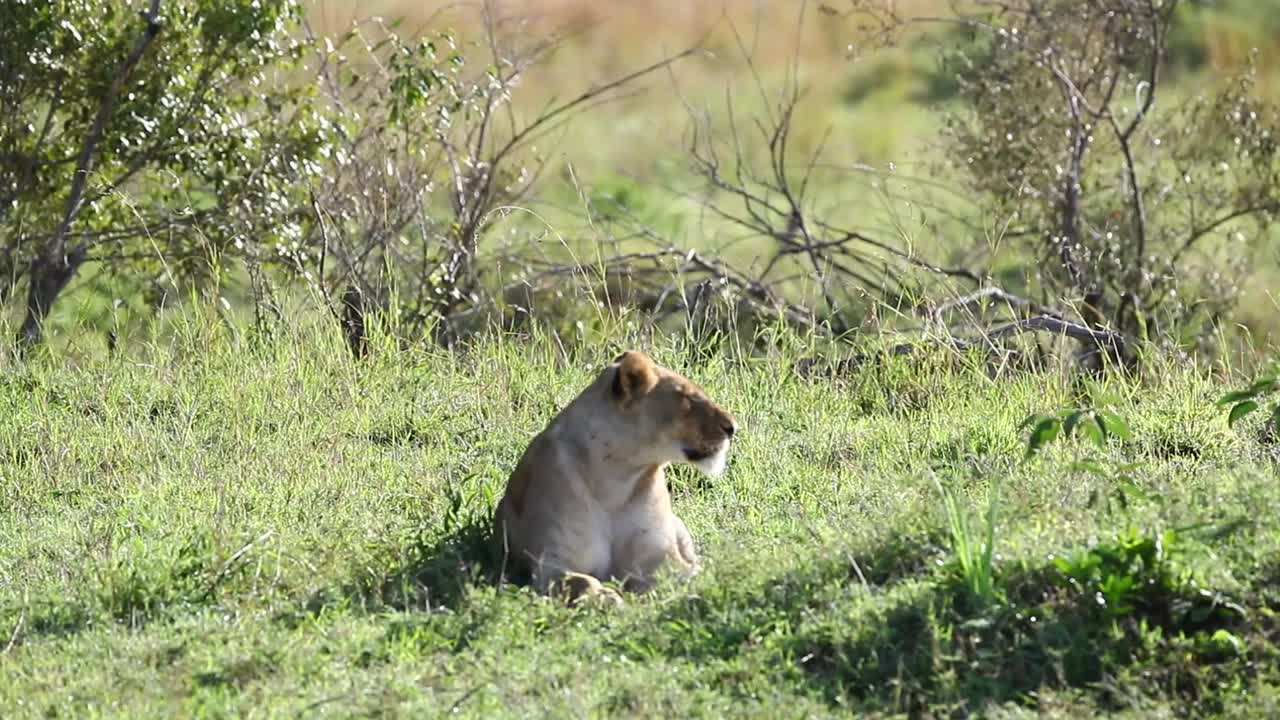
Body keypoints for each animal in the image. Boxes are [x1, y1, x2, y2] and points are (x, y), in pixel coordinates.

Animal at [491, 351, 737, 602]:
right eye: (689, 398)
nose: (732, 428)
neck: (618, 478)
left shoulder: (660, 557)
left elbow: (694, 575)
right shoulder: (551, 565)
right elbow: (583, 581)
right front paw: (606, 597)